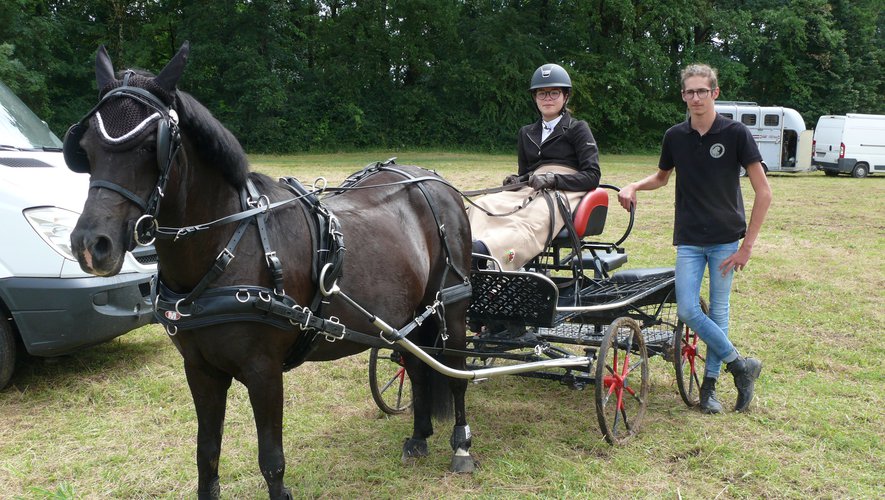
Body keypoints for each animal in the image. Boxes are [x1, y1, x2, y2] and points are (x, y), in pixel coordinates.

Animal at [67, 42, 476, 496]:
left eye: (147, 148)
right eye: (86, 148)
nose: (91, 245)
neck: (226, 246)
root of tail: (433, 181)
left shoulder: (264, 373)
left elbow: (271, 461)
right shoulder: (201, 371)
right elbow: (206, 454)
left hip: (450, 307)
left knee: (456, 373)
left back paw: (461, 446)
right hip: (408, 315)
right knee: (419, 368)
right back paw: (419, 436)